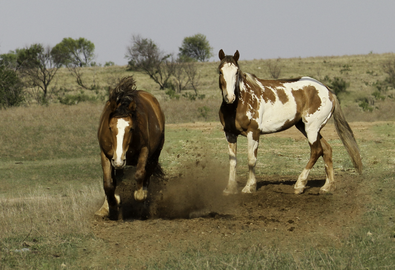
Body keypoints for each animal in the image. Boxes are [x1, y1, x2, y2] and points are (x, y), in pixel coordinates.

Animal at [95, 76, 165, 219]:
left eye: (131, 128)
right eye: (110, 128)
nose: (119, 160)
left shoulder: (144, 150)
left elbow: (140, 174)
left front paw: (140, 195)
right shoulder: (106, 154)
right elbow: (108, 183)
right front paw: (112, 204)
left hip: (154, 156)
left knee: (147, 174)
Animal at [218, 49, 364, 195]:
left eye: (236, 72)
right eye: (220, 71)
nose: (230, 97)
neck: (241, 102)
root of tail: (329, 91)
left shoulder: (253, 133)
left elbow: (251, 160)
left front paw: (249, 187)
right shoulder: (230, 134)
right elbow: (233, 161)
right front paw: (230, 188)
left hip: (311, 128)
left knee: (316, 151)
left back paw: (299, 185)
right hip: (307, 128)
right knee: (326, 150)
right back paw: (327, 187)